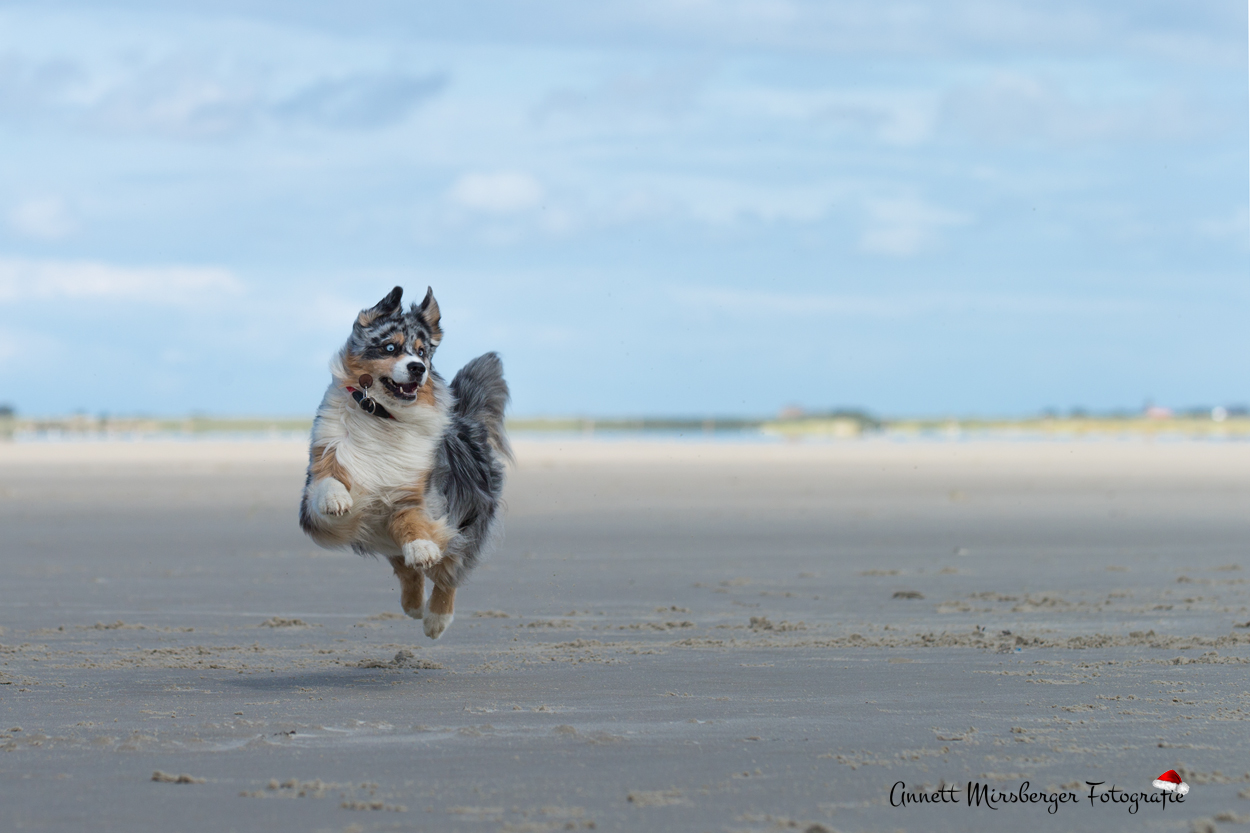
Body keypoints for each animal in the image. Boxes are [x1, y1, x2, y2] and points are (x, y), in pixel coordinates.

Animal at [300, 285, 510, 635]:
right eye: (390, 347)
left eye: (422, 353)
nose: (417, 368)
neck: (382, 415)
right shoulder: (322, 477)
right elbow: (329, 484)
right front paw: (335, 500)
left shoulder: (417, 494)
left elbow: (412, 523)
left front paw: (421, 547)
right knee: (406, 566)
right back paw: (413, 606)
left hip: (470, 519)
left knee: (450, 568)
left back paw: (436, 618)